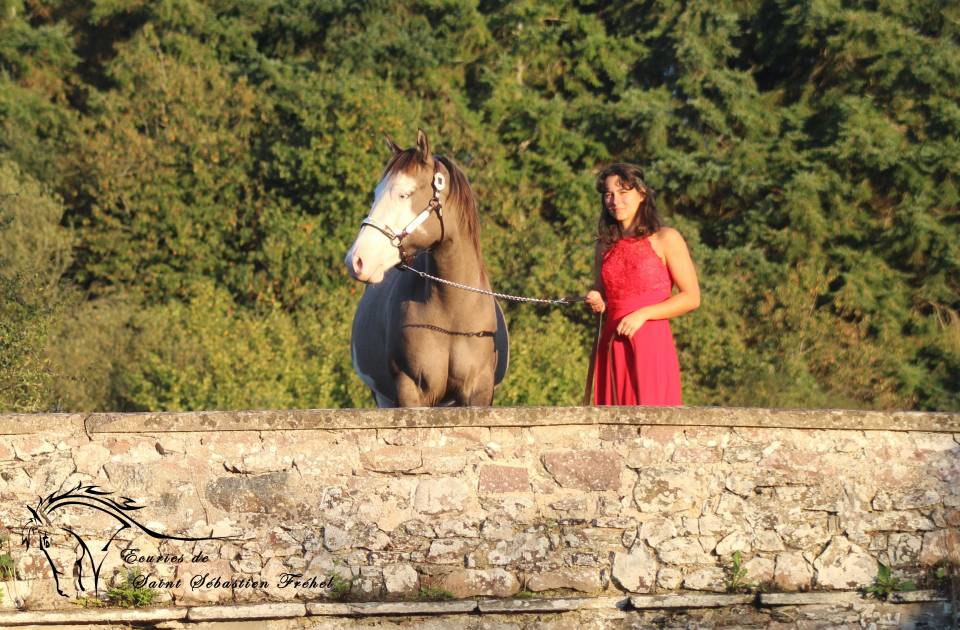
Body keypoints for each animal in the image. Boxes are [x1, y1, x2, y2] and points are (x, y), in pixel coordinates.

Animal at [344, 130, 508, 407]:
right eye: (376, 194)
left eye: (404, 194)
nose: (356, 260)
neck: (452, 314)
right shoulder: (411, 390)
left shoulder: (478, 392)